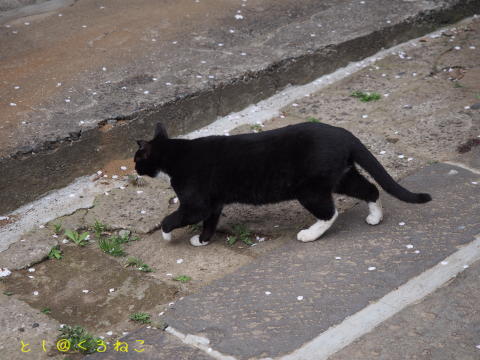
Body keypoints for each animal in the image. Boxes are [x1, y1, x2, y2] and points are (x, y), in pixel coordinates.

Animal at [133, 122, 430, 246]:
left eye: (137, 158)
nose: (134, 168)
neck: (176, 155)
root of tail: (344, 133)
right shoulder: (213, 203)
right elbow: (210, 222)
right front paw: (203, 240)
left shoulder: (196, 203)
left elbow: (172, 218)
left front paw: (167, 236)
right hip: (342, 175)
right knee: (370, 189)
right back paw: (375, 218)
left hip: (309, 189)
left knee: (330, 212)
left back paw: (309, 234)